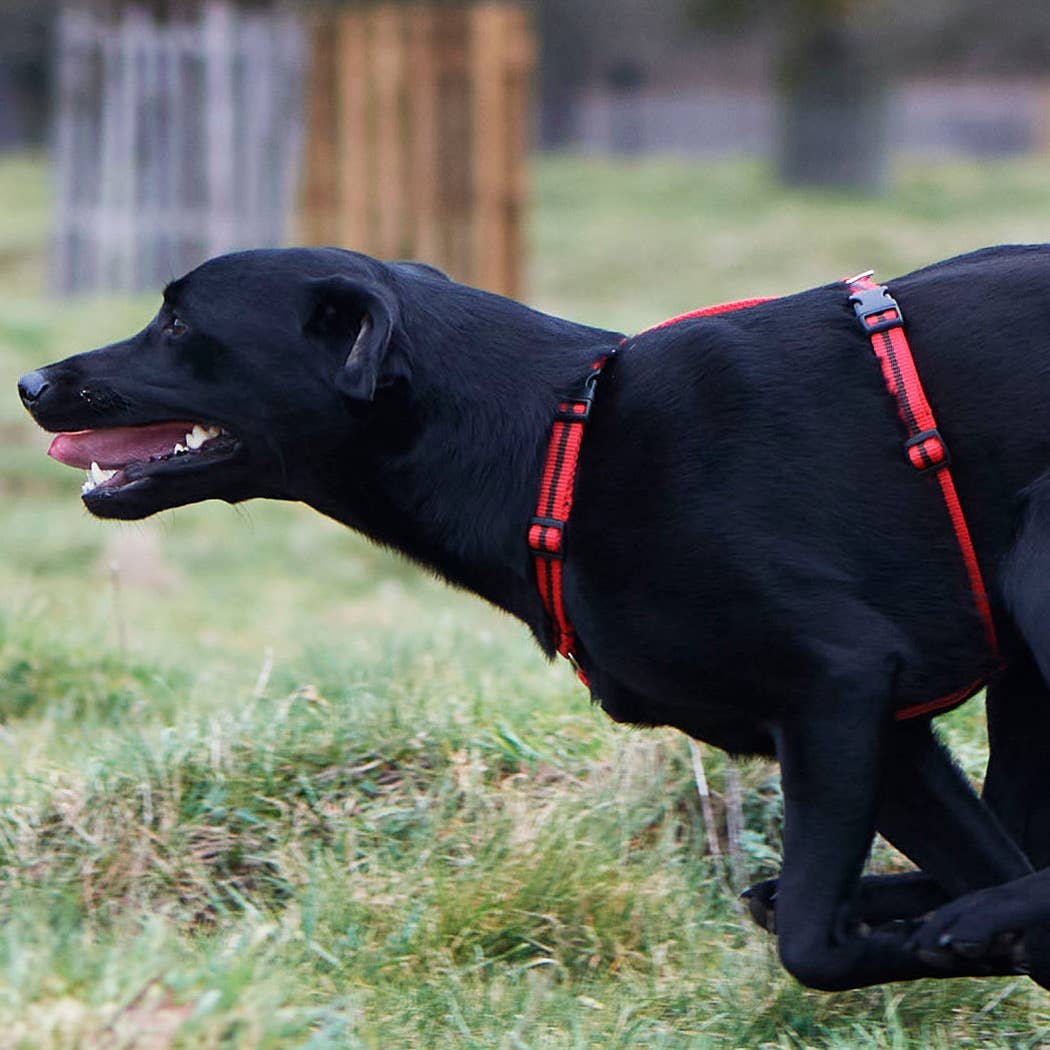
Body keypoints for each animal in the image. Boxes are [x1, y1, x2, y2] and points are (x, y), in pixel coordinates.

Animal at [18, 244, 1050, 991]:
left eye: (178, 322)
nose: (29, 384)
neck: (563, 443)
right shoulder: (888, 735)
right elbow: (963, 865)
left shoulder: (841, 680)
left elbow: (813, 941)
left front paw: (942, 940)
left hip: (1033, 561)